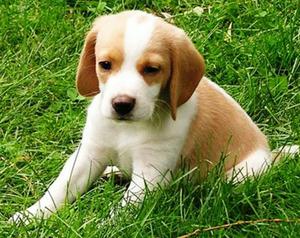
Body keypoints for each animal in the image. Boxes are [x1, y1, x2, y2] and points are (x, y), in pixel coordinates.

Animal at [10, 10, 284, 223]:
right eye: (105, 64)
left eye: (152, 69)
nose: (122, 104)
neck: (127, 129)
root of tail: (271, 155)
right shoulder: (89, 154)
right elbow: (59, 188)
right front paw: (30, 216)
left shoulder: (150, 174)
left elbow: (121, 212)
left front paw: (104, 226)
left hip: (242, 173)